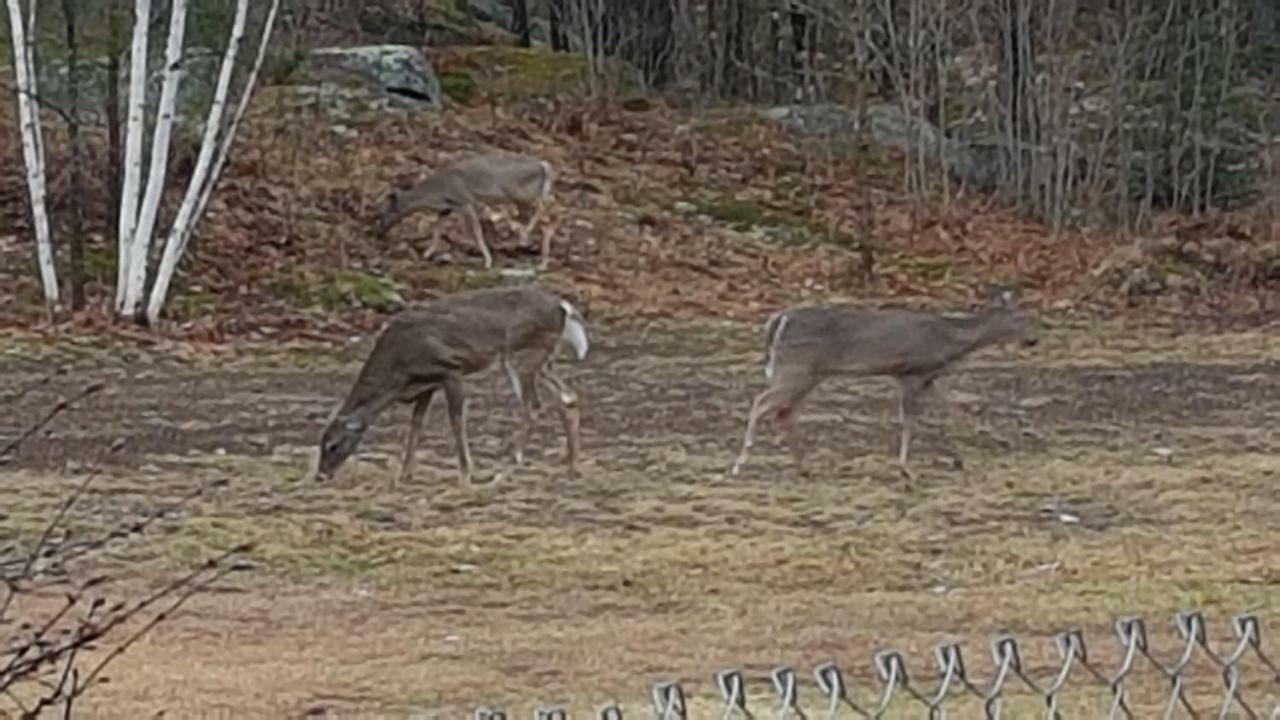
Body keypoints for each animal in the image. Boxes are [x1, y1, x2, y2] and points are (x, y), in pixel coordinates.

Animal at [314, 283, 588, 484]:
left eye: (333, 445)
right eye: (321, 444)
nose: (320, 476)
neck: (397, 375)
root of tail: (562, 306)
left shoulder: (450, 370)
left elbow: (456, 420)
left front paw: (466, 472)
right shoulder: (426, 386)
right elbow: (416, 424)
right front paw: (405, 474)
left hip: (522, 354)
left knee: (532, 403)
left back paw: (516, 457)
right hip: (543, 358)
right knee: (568, 397)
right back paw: (571, 464)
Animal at [373, 148, 565, 269]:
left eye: (386, 211)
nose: (379, 231)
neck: (438, 193)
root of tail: (544, 165)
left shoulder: (465, 200)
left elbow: (476, 231)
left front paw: (488, 261)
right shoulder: (447, 208)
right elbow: (437, 228)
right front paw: (427, 253)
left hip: (520, 192)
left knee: (546, 207)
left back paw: (526, 235)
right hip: (527, 196)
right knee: (551, 213)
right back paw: (541, 256)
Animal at [732, 285, 1039, 476]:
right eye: (1019, 318)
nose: (1033, 340)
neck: (951, 340)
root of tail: (777, 320)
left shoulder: (930, 375)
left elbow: (953, 411)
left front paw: (964, 455)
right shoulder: (911, 372)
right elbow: (909, 420)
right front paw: (905, 468)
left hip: (809, 374)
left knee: (784, 413)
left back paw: (803, 467)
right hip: (795, 368)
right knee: (761, 402)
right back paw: (741, 462)